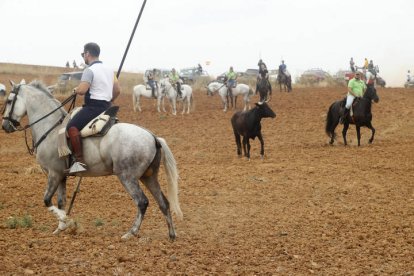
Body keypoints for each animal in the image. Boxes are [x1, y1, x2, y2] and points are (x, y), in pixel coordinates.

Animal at [1, 81, 183, 240]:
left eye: (9, 101)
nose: (5, 126)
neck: (50, 129)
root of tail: (153, 137)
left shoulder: (53, 174)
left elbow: (46, 200)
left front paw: (67, 221)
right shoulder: (61, 176)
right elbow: (61, 202)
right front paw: (61, 228)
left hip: (128, 177)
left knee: (142, 202)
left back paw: (130, 233)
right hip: (148, 177)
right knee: (163, 202)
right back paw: (171, 235)